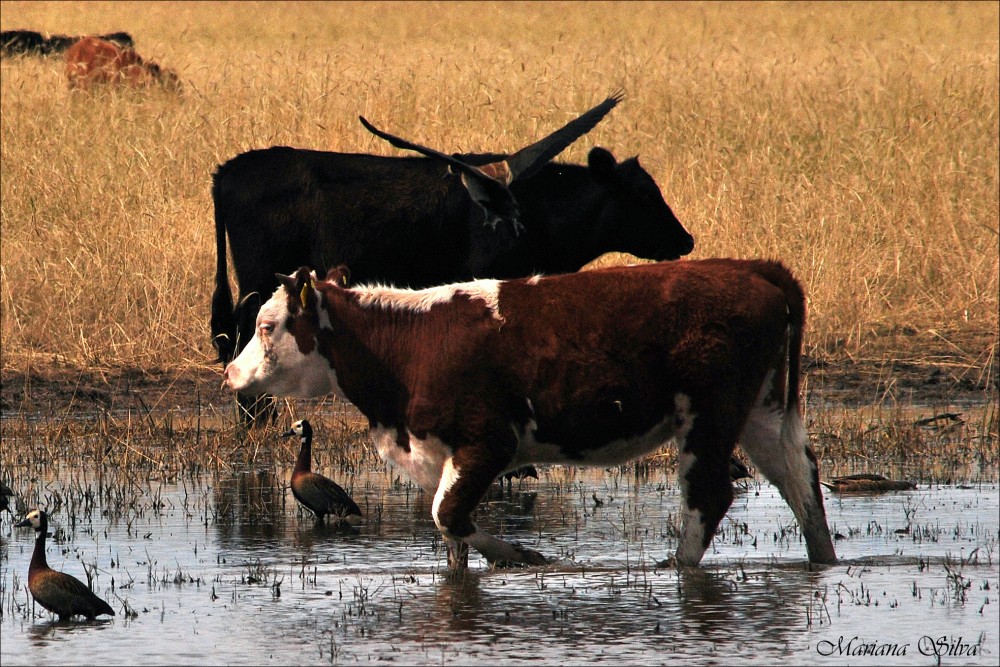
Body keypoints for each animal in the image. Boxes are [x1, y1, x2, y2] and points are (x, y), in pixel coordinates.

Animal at [225, 258, 836, 572]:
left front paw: (524, 554)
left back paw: (675, 569)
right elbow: (450, 535)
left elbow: (448, 514)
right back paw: (823, 561)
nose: (229, 374)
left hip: (710, 416)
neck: (411, 347)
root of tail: (750, 268)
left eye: (266, 326)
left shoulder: (486, 441)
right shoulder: (439, 452)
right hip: (762, 411)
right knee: (800, 480)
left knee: (708, 496)